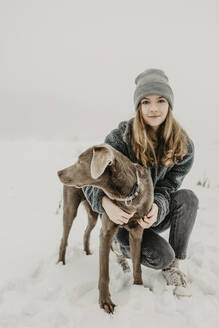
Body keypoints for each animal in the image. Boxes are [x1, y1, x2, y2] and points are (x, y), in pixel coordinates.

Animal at [57, 144, 153, 312]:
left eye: (80, 161)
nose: (59, 172)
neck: (127, 196)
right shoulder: (106, 232)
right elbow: (104, 274)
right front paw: (105, 302)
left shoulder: (137, 232)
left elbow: (137, 266)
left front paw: (138, 288)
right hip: (70, 208)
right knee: (64, 238)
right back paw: (61, 264)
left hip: (93, 214)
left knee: (86, 232)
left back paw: (87, 252)